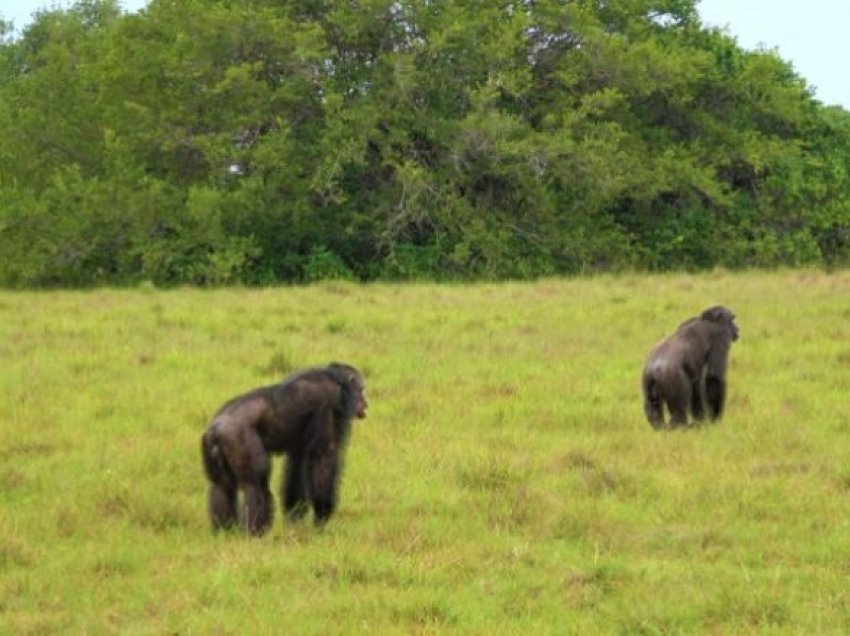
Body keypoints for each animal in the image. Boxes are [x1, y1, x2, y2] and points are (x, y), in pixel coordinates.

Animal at [204, 360, 370, 536]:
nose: (366, 403)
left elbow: (297, 465)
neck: (337, 381)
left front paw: (295, 515)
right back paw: (256, 533)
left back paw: (225, 531)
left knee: (221, 486)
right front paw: (321, 517)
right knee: (256, 485)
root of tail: (216, 428)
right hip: (239, 438)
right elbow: (323, 458)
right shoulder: (329, 403)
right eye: (362, 389)